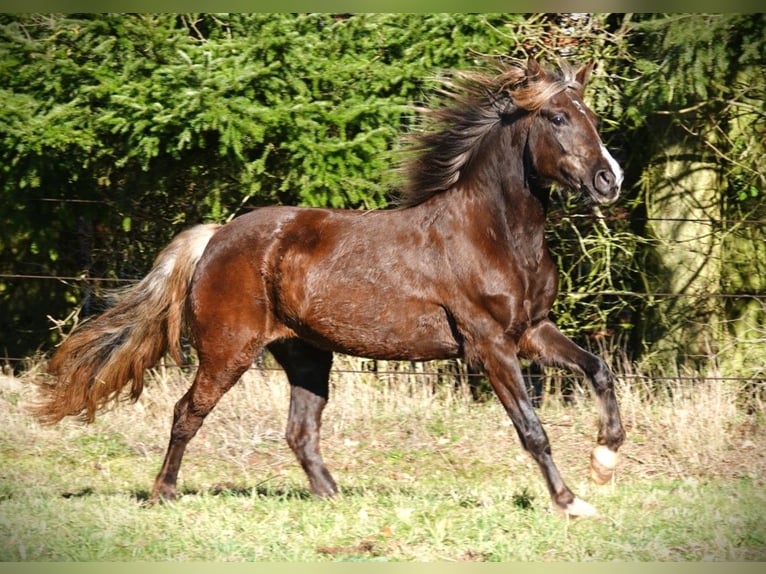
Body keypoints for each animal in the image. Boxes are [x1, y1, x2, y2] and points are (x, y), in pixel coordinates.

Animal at [32, 56, 625, 517]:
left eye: (591, 116)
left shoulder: (531, 331)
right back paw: (164, 493)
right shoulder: (489, 344)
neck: (494, 235)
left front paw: (606, 459)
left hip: (306, 354)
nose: (609, 180)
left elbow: (598, 368)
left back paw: (334, 497)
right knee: (186, 413)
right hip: (228, 350)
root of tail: (217, 236)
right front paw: (571, 501)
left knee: (299, 431)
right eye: (556, 116)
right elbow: (532, 428)